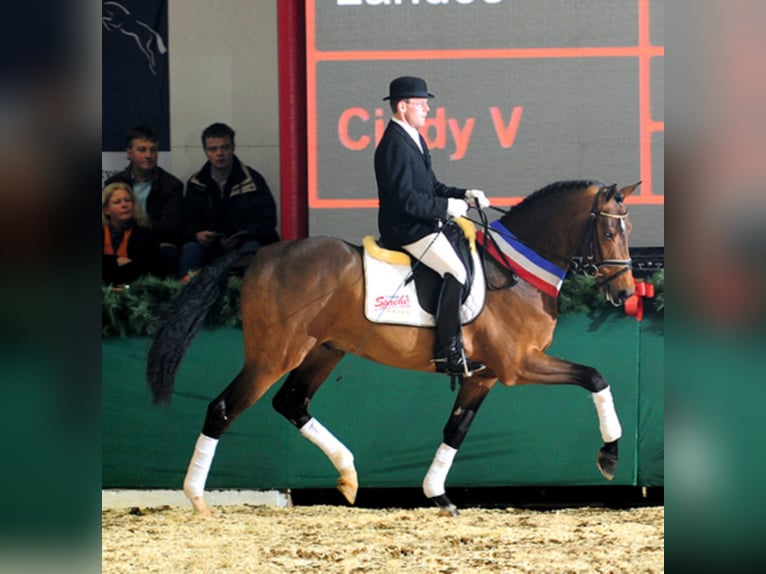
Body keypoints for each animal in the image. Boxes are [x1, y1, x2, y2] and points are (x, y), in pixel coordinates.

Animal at [147, 179, 640, 516]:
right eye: (609, 233)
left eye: (629, 229)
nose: (625, 292)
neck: (517, 270)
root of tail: (262, 253)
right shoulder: (519, 365)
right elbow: (596, 377)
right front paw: (610, 456)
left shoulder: (483, 376)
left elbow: (455, 430)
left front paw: (437, 494)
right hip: (274, 355)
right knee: (223, 408)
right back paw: (197, 498)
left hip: (324, 350)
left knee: (291, 402)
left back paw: (348, 475)